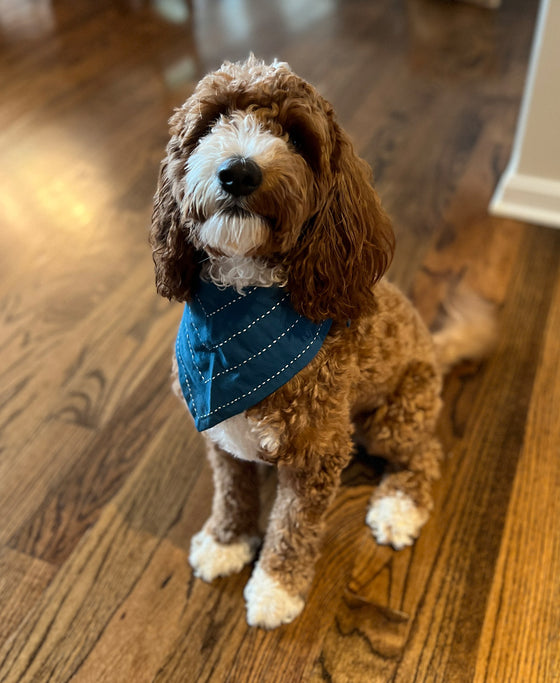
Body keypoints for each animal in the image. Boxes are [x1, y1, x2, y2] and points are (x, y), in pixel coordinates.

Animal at [150, 56, 494, 628]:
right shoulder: (222, 439)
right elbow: (232, 493)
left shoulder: (316, 454)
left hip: (393, 418)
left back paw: (398, 507)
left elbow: (293, 527)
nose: (238, 171)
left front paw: (276, 588)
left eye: (296, 136)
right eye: (212, 121)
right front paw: (226, 541)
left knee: (425, 454)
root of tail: (432, 346)